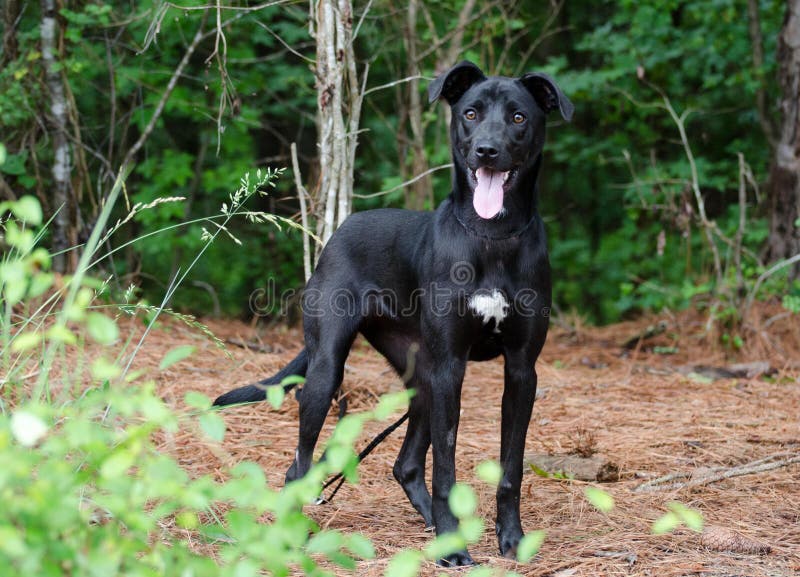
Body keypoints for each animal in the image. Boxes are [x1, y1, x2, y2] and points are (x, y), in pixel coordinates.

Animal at [216, 60, 572, 564]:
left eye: (519, 117)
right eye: (470, 112)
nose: (486, 150)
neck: (491, 236)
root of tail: (338, 233)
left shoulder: (521, 370)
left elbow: (511, 468)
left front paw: (512, 539)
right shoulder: (449, 368)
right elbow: (446, 468)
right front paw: (454, 547)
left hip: (420, 376)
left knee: (405, 465)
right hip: (329, 369)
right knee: (299, 465)